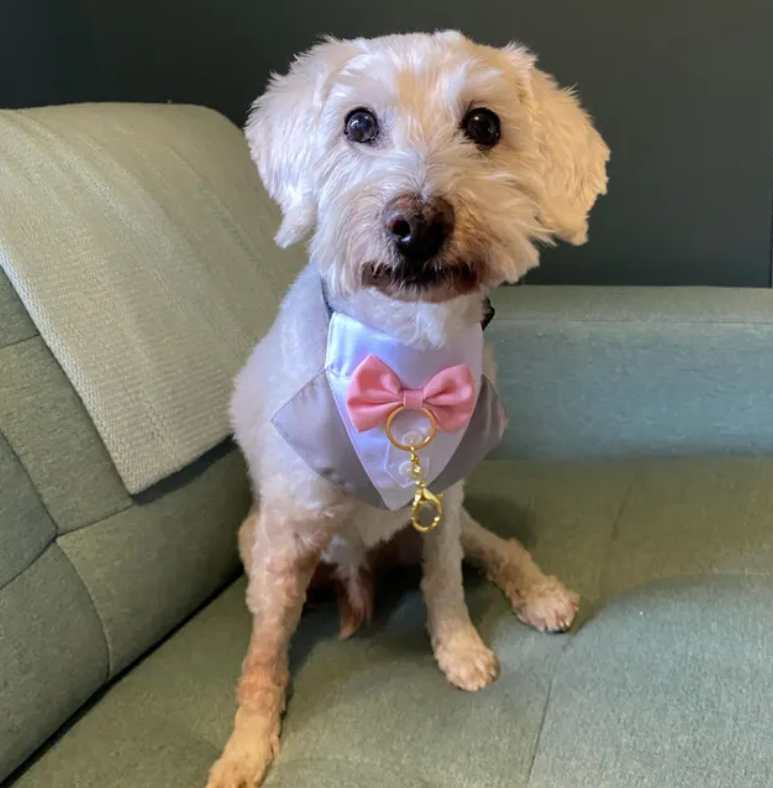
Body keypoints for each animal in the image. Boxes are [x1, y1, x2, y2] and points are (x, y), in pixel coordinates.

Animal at [207, 30, 608, 788]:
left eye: (484, 124)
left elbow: (444, 584)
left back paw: (539, 592)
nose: (418, 224)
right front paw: (246, 746)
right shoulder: (283, 541)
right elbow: (262, 655)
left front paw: (460, 651)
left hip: (458, 520)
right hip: (256, 541)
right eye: (358, 122)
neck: (406, 359)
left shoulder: (441, 507)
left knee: (495, 547)